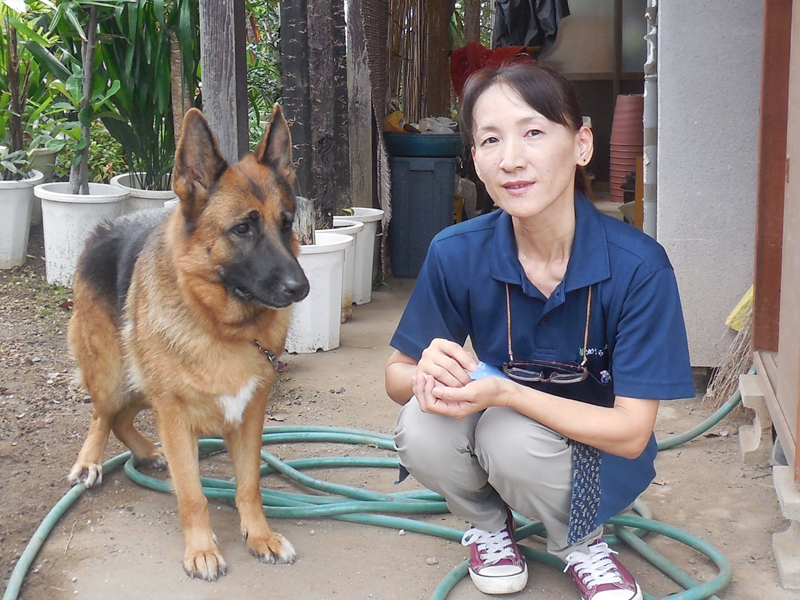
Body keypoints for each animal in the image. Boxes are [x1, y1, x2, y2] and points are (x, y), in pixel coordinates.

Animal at [66, 105, 310, 580]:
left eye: (286, 223)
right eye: (242, 228)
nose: (301, 288)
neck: (221, 327)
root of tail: (104, 226)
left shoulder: (249, 415)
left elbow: (250, 484)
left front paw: (260, 536)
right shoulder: (176, 416)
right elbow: (192, 493)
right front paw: (201, 549)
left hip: (141, 385)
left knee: (123, 418)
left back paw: (148, 451)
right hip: (113, 374)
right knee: (103, 414)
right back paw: (89, 460)